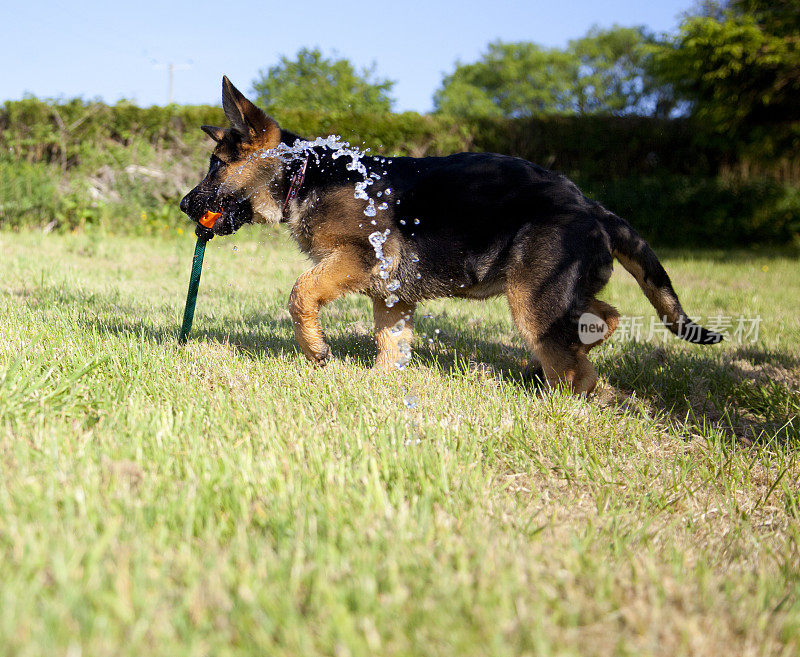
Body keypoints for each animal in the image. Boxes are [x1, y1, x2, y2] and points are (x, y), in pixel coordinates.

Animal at [181, 77, 720, 394]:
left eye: (216, 166)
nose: (185, 205)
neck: (303, 174)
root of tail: (593, 208)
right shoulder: (391, 292)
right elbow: (391, 340)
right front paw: (380, 384)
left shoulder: (358, 258)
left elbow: (300, 293)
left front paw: (316, 350)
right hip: (556, 293)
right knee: (603, 318)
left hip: (533, 300)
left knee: (577, 369)